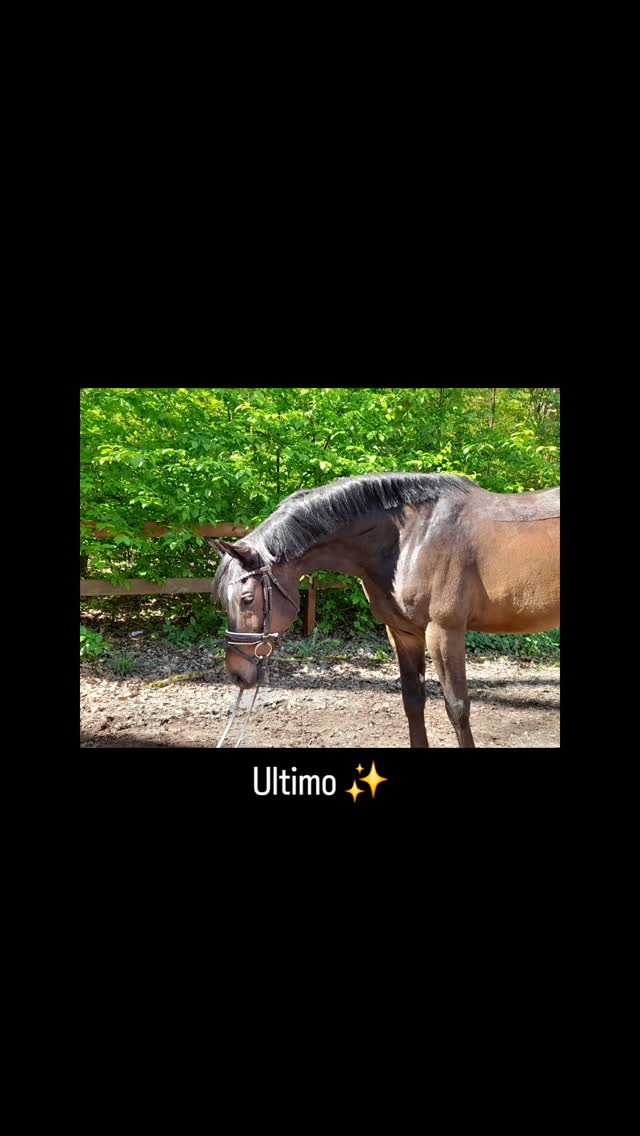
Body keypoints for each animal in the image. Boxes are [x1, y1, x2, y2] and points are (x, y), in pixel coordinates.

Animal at [209, 472, 559, 748]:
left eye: (247, 599)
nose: (237, 674)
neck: (411, 538)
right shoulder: (403, 633)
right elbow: (412, 701)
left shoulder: (444, 632)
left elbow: (457, 707)